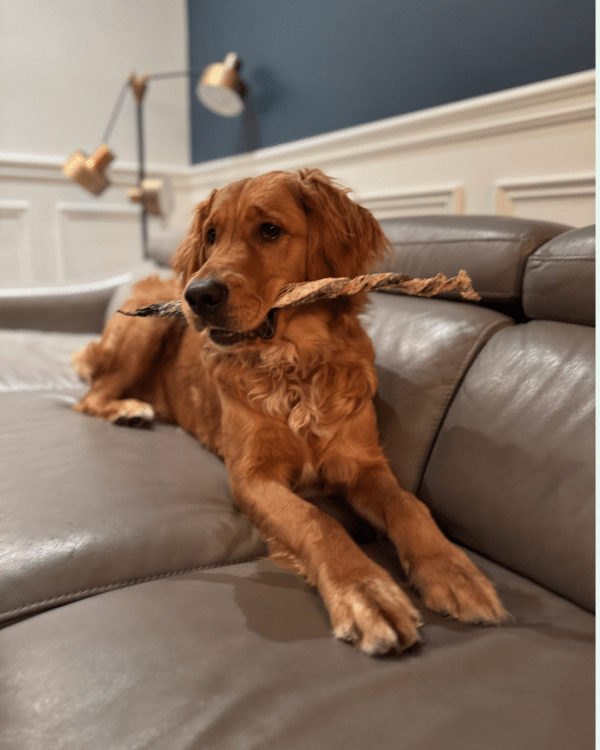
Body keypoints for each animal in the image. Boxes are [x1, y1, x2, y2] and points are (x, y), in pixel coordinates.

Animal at [74, 169, 506, 652]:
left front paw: (452, 570)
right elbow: (317, 520)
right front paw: (364, 590)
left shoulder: (363, 464)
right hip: (142, 329)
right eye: (211, 235)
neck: (294, 365)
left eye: (269, 231)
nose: (197, 295)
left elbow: (408, 504)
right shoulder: (252, 477)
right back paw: (128, 408)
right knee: (90, 396)